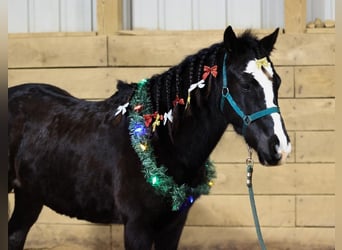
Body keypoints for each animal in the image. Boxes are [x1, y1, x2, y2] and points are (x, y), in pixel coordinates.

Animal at [8, 26, 292, 249]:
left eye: (277, 82)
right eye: (245, 83)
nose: (279, 147)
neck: (160, 142)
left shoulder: (173, 226)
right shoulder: (137, 228)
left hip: (29, 197)